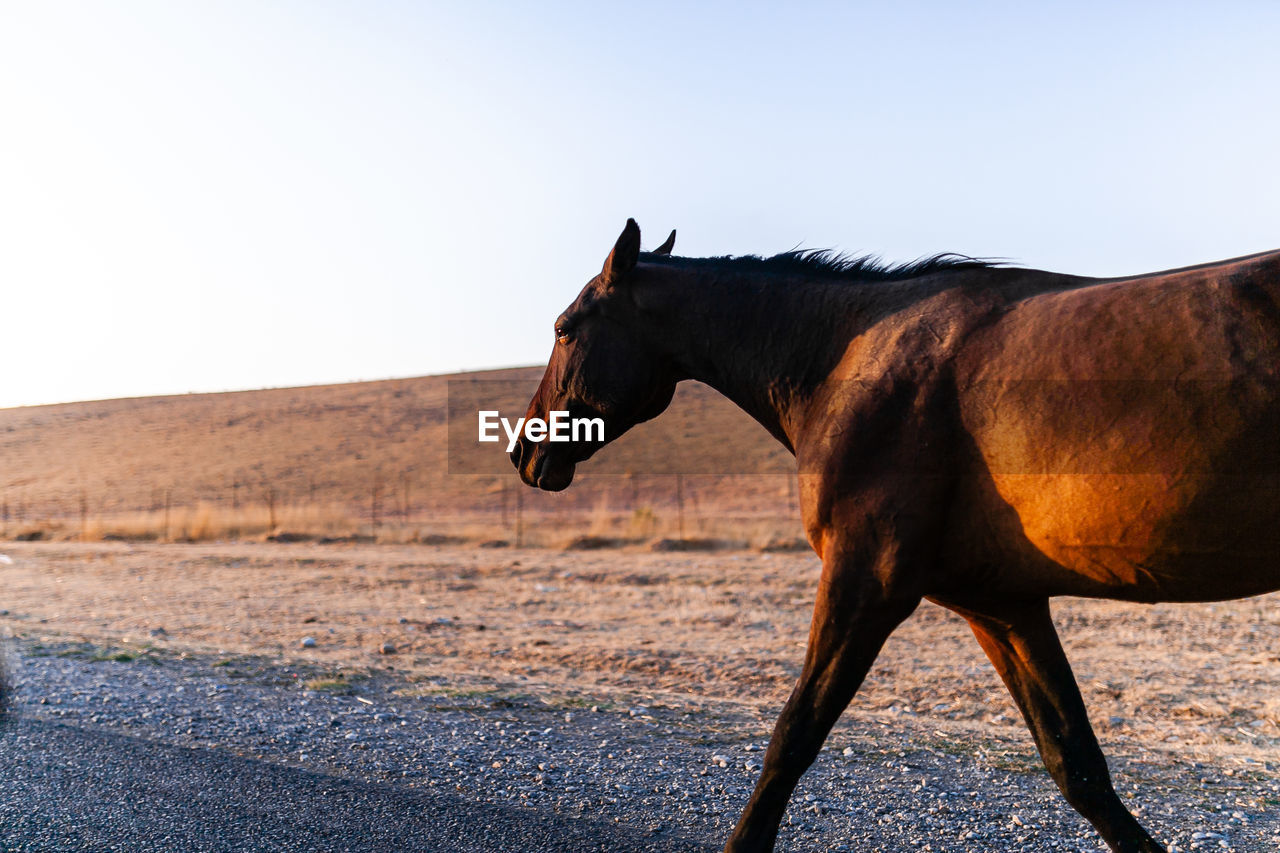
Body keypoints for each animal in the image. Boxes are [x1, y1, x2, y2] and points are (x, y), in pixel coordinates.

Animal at [512, 220, 1280, 850]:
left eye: (564, 329)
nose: (523, 451)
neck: (845, 360)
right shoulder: (1002, 606)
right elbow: (1077, 764)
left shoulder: (865, 581)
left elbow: (792, 738)